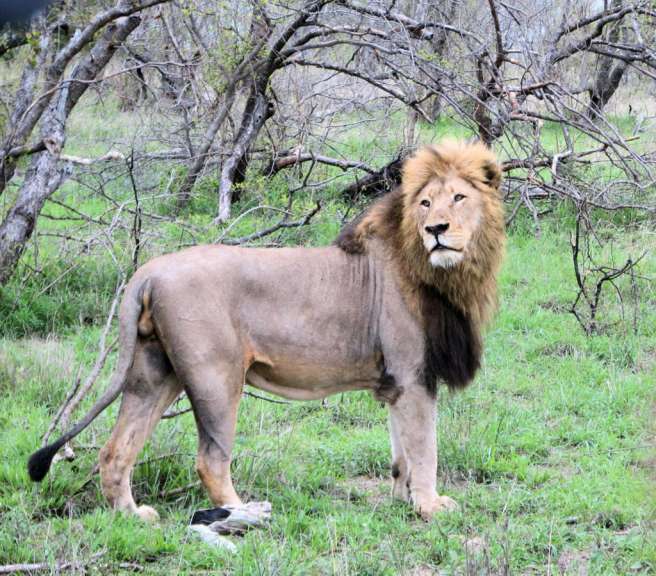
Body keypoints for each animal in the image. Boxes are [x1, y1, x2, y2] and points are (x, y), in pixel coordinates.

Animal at [28, 140, 505, 522]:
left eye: (459, 197)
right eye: (425, 204)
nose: (437, 230)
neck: (445, 272)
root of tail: (147, 272)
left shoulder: (396, 382)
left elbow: (401, 451)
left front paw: (403, 500)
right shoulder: (411, 374)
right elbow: (425, 447)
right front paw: (430, 506)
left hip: (154, 373)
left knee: (115, 451)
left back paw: (132, 515)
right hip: (216, 378)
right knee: (210, 460)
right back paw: (243, 513)